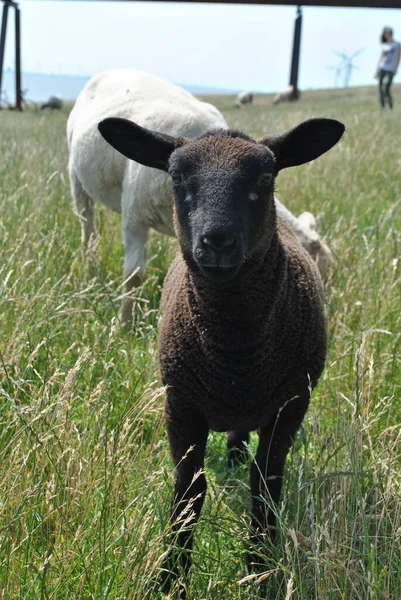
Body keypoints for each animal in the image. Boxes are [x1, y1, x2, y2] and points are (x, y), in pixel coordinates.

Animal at [97, 113, 344, 592]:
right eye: (175, 177)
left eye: (266, 177)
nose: (217, 242)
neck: (235, 352)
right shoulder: (180, 404)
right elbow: (189, 491)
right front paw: (171, 576)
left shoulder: (291, 404)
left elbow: (265, 485)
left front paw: (260, 569)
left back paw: (235, 453)